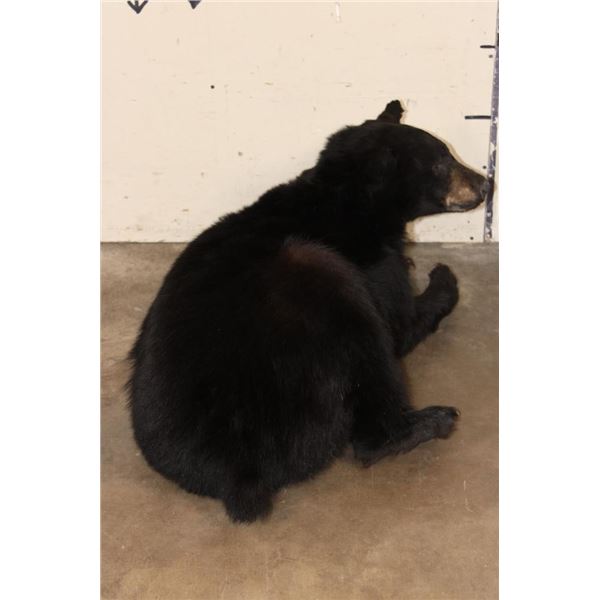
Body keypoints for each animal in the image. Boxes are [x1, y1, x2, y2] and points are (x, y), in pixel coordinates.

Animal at [127, 100, 488, 523]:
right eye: (442, 162)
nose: (486, 183)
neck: (347, 198)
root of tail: (237, 471)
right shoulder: (375, 266)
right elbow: (401, 325)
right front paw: (441, 278)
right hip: (322, 292)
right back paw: (432, 421)